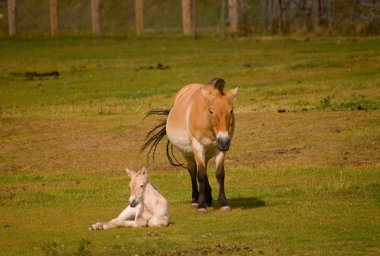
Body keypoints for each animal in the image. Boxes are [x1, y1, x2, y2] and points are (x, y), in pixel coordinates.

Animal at [141, 78, 239, 212]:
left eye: (231, 110)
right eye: (211, 111)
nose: (224, 141)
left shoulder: (220, 149)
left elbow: (219, 174)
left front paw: (223, 203)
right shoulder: (198, 147)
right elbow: (200, 175)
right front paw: (201, 205)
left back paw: (208, 196)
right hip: (188, 153)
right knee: (193, 171)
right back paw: (195, 200)